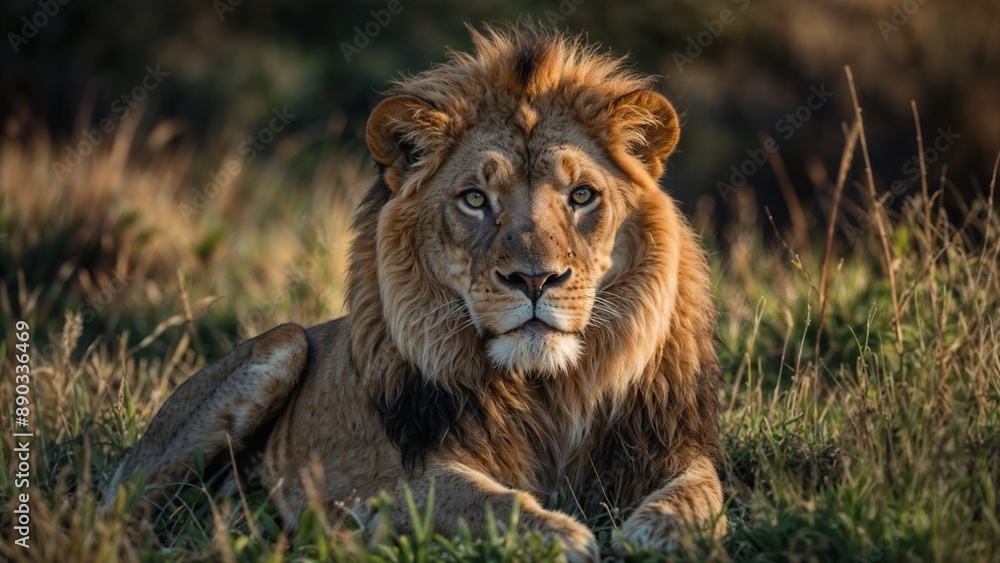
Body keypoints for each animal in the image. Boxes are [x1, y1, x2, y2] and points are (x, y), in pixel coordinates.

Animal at [108, 25, 726, 559]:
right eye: (475, 199)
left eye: (581, 195)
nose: (534, 279)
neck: (546, 390)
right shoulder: (390, 480)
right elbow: (481, 499)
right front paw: (561, 536)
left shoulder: (667, 447)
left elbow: (703, 491)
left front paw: (659, 532)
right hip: (281, 346)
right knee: (126, 495)